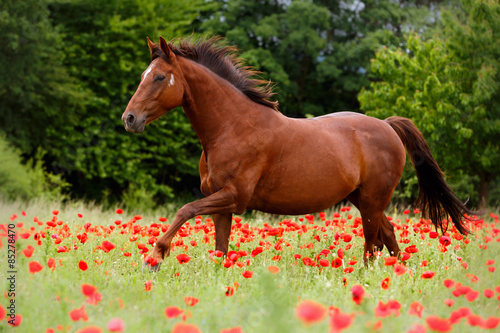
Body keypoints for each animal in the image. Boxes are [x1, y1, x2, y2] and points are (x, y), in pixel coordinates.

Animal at [122, 36, 472, 270]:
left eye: (158, 77)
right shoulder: (222, 202)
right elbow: (220, 248)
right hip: (364, 199)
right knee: (388, 238)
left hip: (373, 200)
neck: (231, 127)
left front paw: (154, 257)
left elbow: (185, 210)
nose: (130, 119)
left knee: (372, 243)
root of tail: (388, 126)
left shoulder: (234, 197)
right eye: (141, 76)